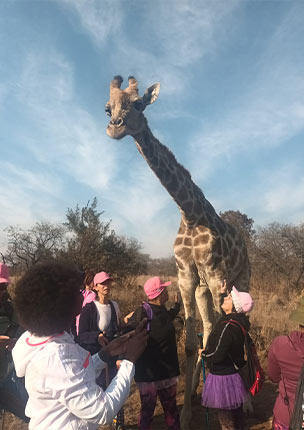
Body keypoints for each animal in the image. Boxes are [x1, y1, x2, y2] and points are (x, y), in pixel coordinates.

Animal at [105, 75, 251, 428]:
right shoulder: (186, 276)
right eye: (107, 107)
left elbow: (225, 331)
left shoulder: (217, 275)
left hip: (241, 277)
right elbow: (190, 342)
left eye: (138, 104)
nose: (115, 128)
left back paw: (247, 402)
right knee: (208, 328)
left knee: (238, 322)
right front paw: (185, 414)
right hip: (202, 288)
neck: (190, 213)